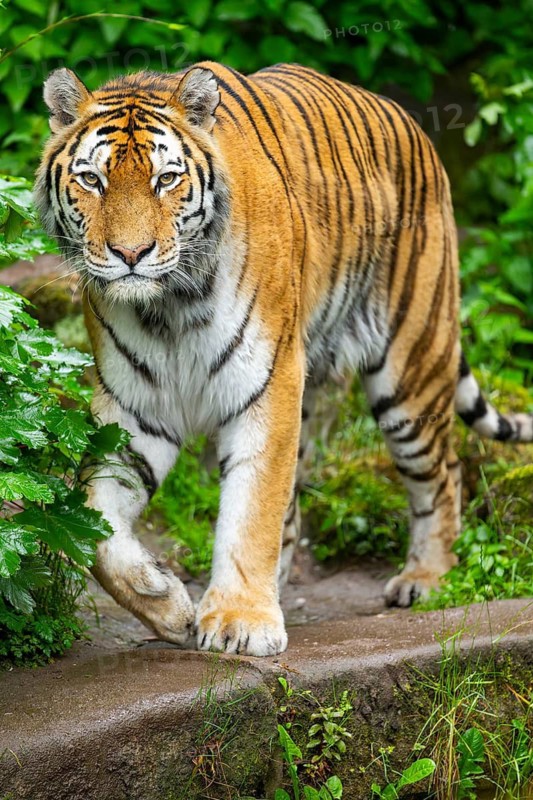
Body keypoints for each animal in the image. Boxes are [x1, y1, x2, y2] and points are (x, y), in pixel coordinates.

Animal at [35, 61, 533, 657]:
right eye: (92, 180)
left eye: (166, 179)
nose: (131, 255)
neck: (170, 307)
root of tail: (411, 124)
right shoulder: (135, 406)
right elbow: (97, 523)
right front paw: (169, 604)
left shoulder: (267, 382)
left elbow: (253, 508)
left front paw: (239, 620)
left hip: (411, 370)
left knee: (443, 473)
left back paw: (426, 579)